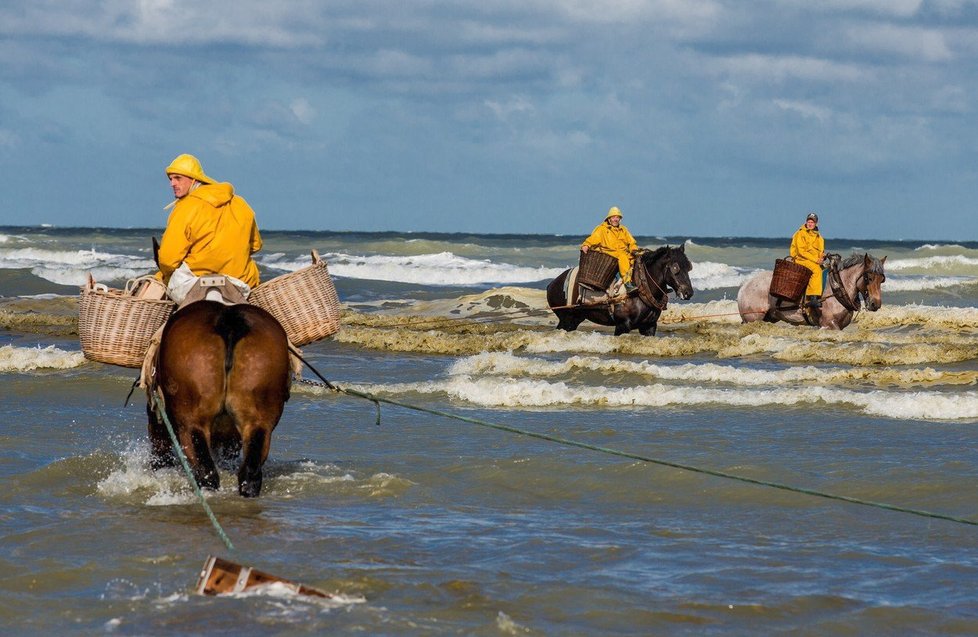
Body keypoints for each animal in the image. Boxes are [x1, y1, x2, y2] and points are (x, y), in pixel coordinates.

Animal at [540, 243, 692, 336]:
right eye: (675, 268)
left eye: (689, 267)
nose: (688, 292)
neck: (640, 288)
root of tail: (552, 283)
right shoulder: (622, 325)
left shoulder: (649, 326)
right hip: (566, 318)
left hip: (574, 319)